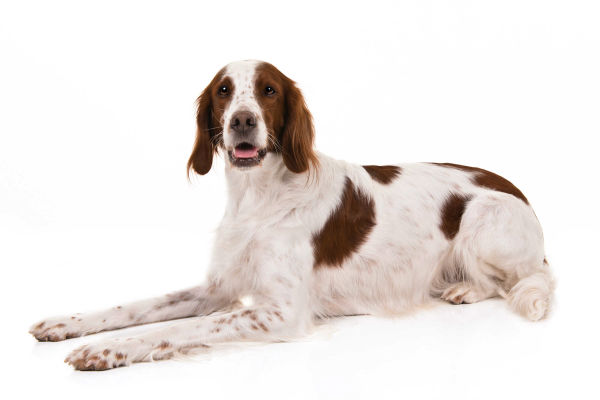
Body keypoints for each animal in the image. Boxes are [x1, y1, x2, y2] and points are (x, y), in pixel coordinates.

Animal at [28, 61, 552, 370]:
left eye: (269, 90)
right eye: (224, 91)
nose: (242, 120)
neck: (257, 199)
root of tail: (520, 193)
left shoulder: (281, 311)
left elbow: (176, 329)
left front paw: (104, 350)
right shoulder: (218, 288)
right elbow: (136, 308)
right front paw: (67, 324)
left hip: (483, 219)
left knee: (508, 281)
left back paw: (464, 288)